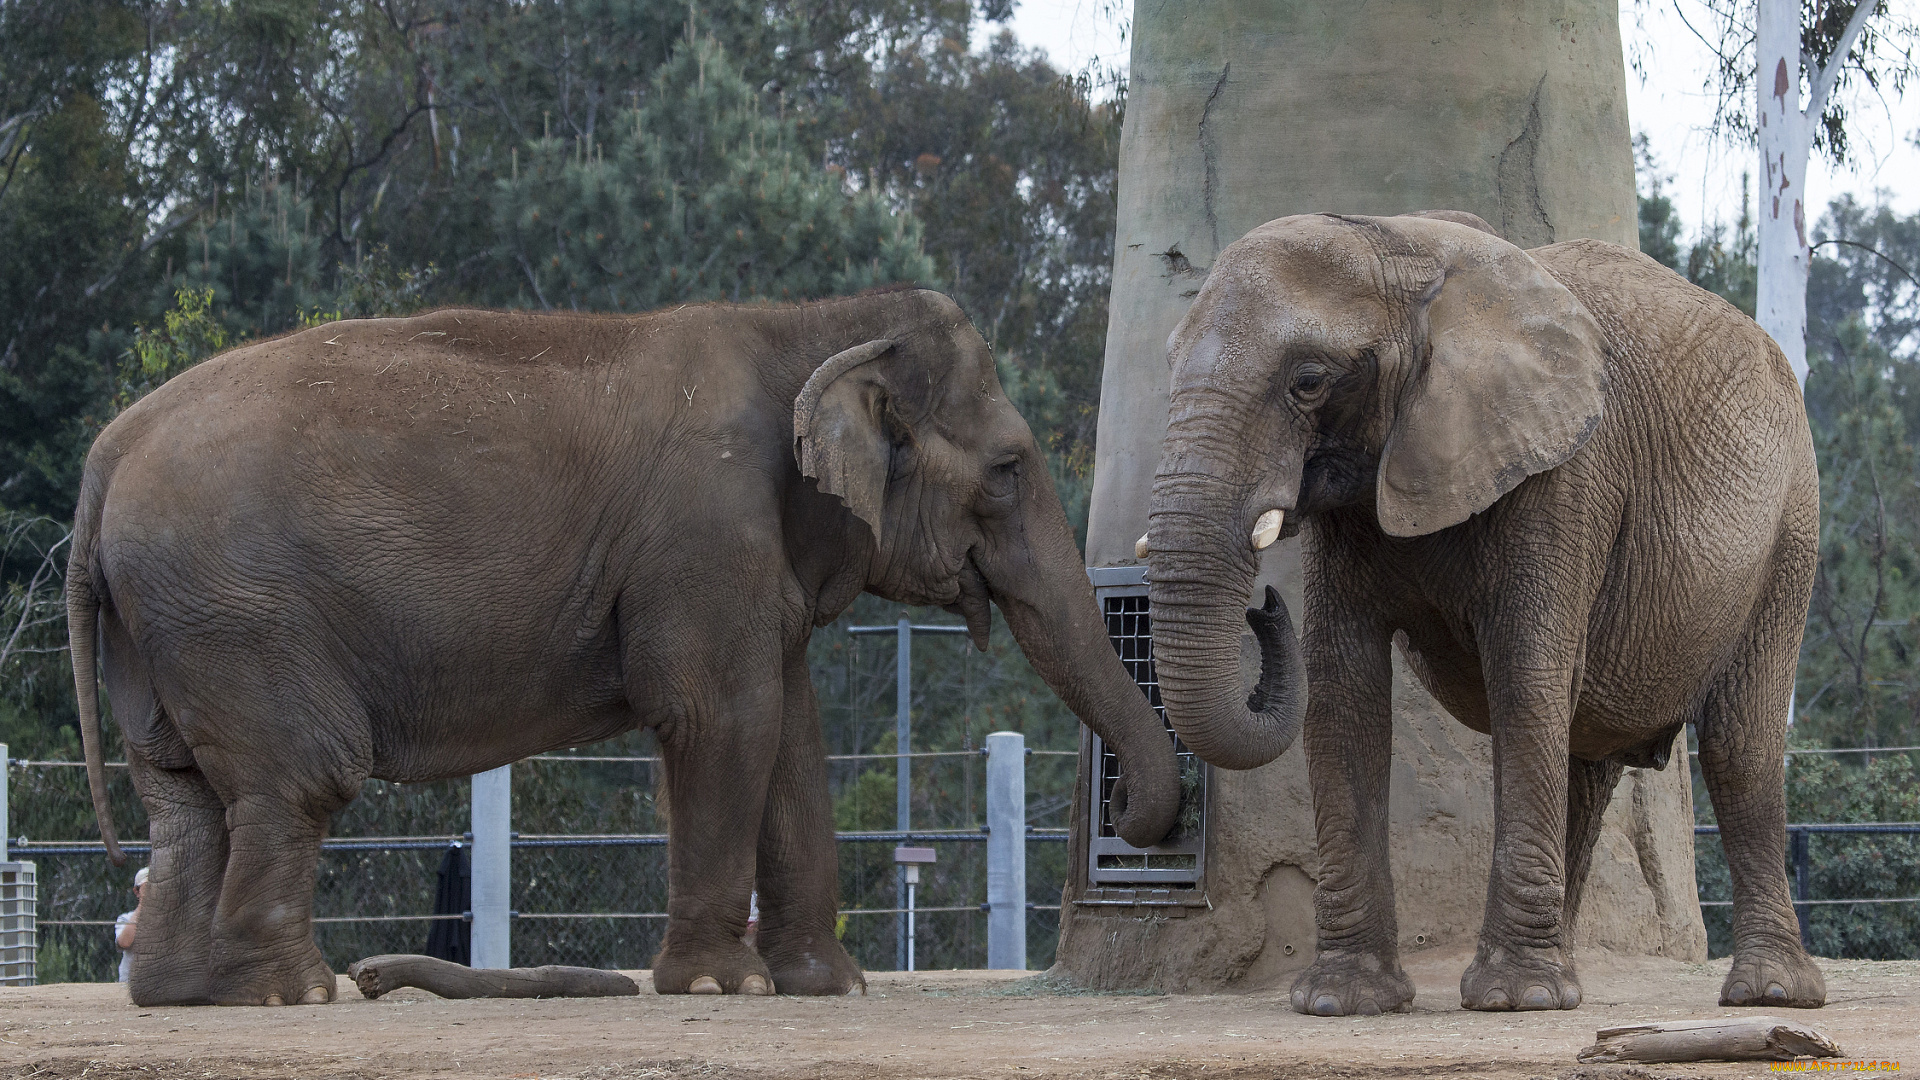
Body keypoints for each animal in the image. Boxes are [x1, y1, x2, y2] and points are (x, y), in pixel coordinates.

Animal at [74, 286, 1175, 999]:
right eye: (1007, 470)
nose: (1130, 813)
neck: (808, 322)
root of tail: (108, 451)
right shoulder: (705, 529)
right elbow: (724, 718)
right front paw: (722, 989)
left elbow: (792, 735)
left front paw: (830, 987)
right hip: (239, 609)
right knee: (301, 776)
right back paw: (289, 993)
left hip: (166, 622)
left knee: (179, 791)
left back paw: (177, 993)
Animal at [1136, 210, 1827, 1006]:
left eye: (1308, 381)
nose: (1264, 605)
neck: (1400, 244)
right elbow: (1344, 696)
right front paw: (1344, 1001)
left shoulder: (1563, 476)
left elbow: (1525, 679)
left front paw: (1512, 998)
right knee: (1584, 758)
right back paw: (1570, 973)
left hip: (1790, 529)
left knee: (1737, 747)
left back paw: (1768, 993)